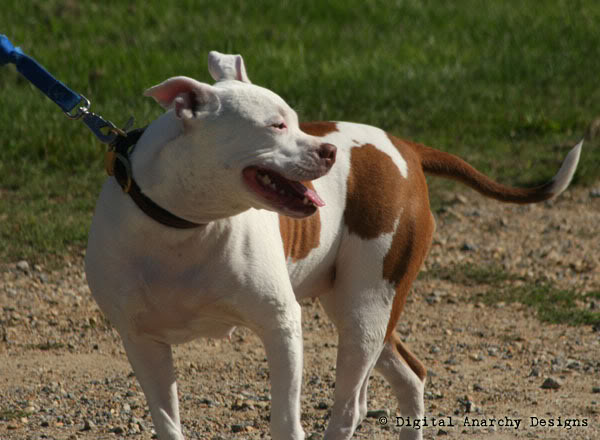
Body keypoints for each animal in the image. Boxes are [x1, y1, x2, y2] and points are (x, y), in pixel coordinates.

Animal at [84, 49, 580, 438]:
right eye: (276, 125)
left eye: (296, 120)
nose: (329, 152)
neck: (183, 225)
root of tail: (404, 146)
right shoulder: (142, 341)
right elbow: (168, 423)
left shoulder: (281, 324)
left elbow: (286, 422)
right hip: (359, 308)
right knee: (410, 377)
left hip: (368, 307)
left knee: (350, 407)